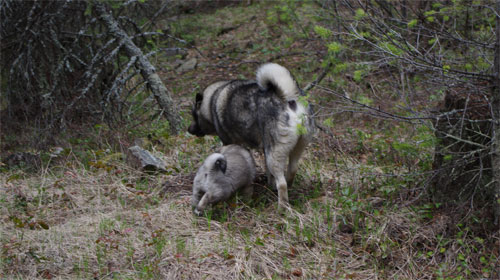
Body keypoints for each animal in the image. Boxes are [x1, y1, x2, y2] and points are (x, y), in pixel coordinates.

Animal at [188, 63, 312, 208]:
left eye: (194, 115)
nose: (189, 129)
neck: (213, 100)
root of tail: (289, 99)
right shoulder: (265, 148)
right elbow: (269, 172)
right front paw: (269, 183)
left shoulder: (228, 142)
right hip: (296, 148)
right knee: (292, 170)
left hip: (274, 154)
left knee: (282, 183)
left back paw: (282, 207)